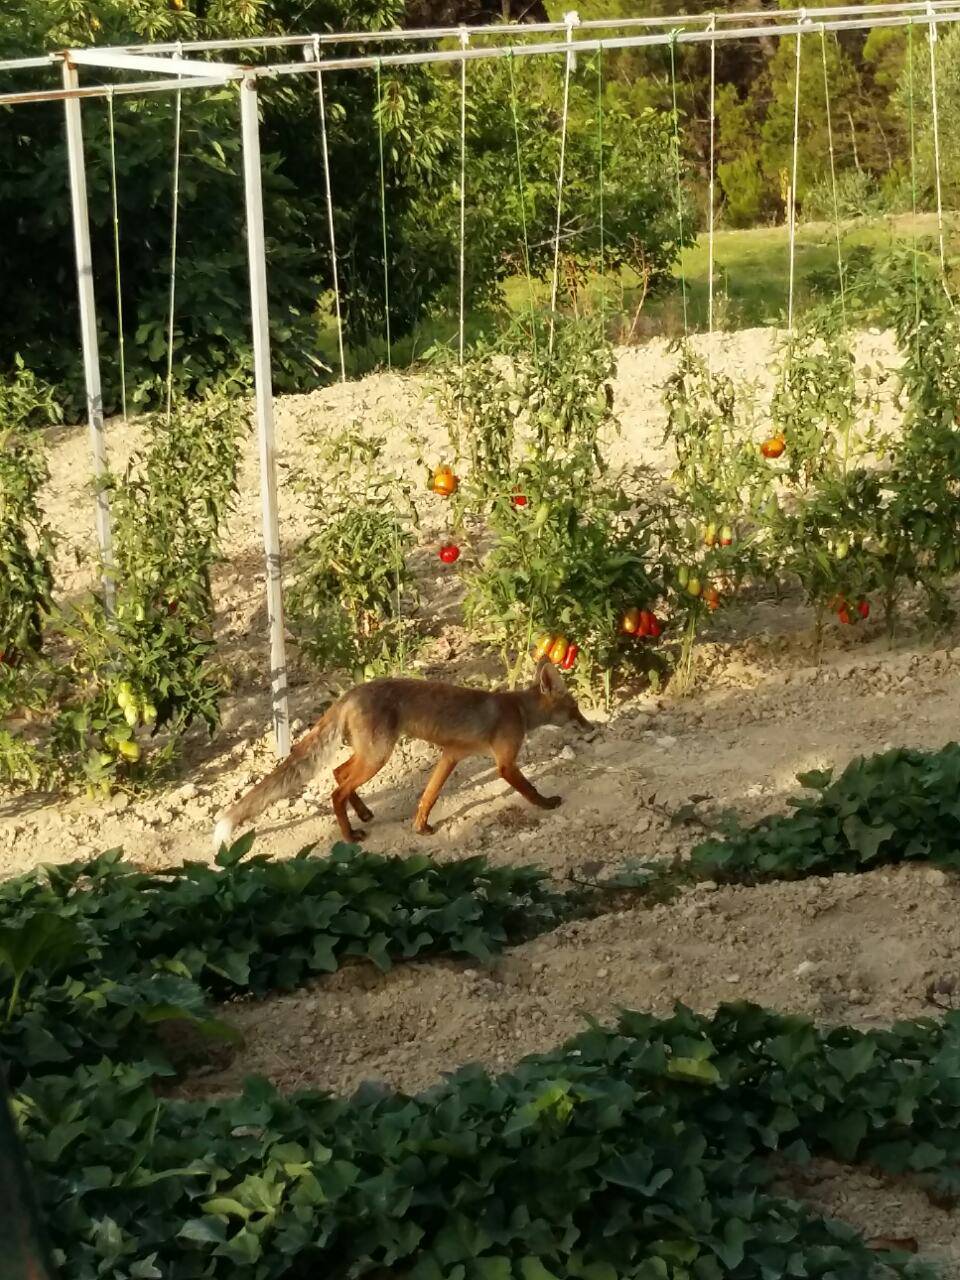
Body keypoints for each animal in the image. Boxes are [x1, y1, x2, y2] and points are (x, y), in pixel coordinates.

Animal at [213, 660, 599, 849]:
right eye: (575, 708)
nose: (592, 725)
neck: (516, 710)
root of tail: (350, 693)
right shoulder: (505, 764)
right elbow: (529, 788)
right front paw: (548, 804)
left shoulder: (451, 756)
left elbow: (428, 796)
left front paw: (421, 827)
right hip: (377, 757)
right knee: (336, 790)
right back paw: (350, 836)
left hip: (370, 754)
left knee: (339, 775)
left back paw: (363, 814)